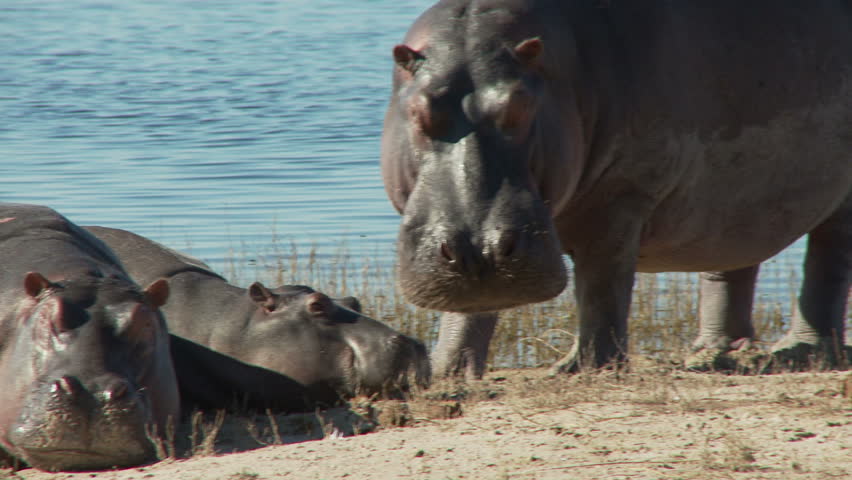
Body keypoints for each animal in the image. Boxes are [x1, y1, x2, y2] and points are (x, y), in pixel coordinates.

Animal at [381, 0, 852, 378]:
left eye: (521, 106)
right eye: (419, 110)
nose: (479, 250)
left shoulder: (621, 196)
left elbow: (601, 284)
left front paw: (584, 368)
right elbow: (470, 310)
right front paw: (445, 374)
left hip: (838, 199)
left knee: (827, 261)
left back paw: (805, 350)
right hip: (735, 201)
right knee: (732, 259)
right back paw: (715, 353)